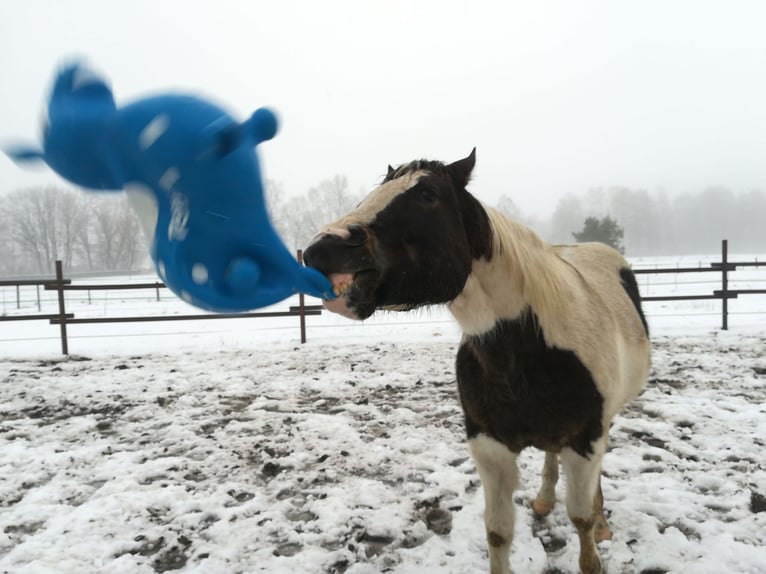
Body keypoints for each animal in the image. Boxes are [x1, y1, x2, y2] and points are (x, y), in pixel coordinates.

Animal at [304, 150, 652, 574]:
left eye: (428, 195)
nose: (320, 250)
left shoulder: (585, 442)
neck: (527, 353)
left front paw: (595, 528)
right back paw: (544, 499)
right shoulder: (490, 449)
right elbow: (498, 532)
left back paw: (601, 522)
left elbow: (581, 522)